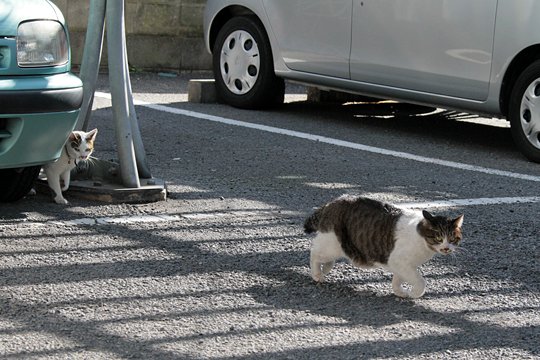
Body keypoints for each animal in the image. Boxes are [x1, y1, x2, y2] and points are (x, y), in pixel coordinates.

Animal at [306, 195, 462, 300]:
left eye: (452, 239)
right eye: (438, 238)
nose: (446, 248)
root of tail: (333, 202)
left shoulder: (400, 265)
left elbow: (398, 279)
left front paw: (399, 292)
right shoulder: (400, 261)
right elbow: (420, 281)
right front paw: (414, 293)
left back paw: (326, 268)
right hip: (332, 244)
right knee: (314, 252)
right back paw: (317, 274)